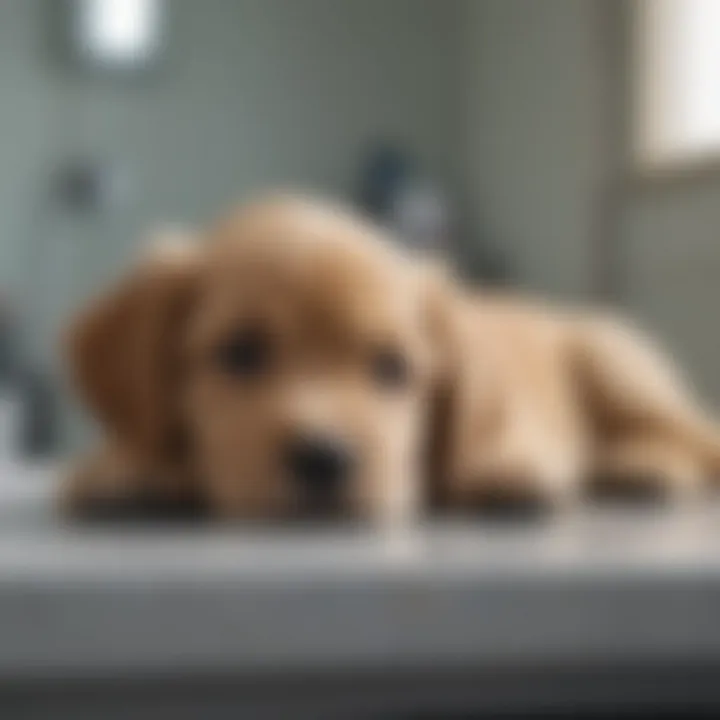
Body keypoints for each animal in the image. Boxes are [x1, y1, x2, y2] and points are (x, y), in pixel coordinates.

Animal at [63, 195, 720, 524]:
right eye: (241, 352)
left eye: (391, 368)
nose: (324, 459)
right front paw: (127, 465)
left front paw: (499, 468)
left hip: (610, 354)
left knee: (690, 436)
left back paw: (642, 465)